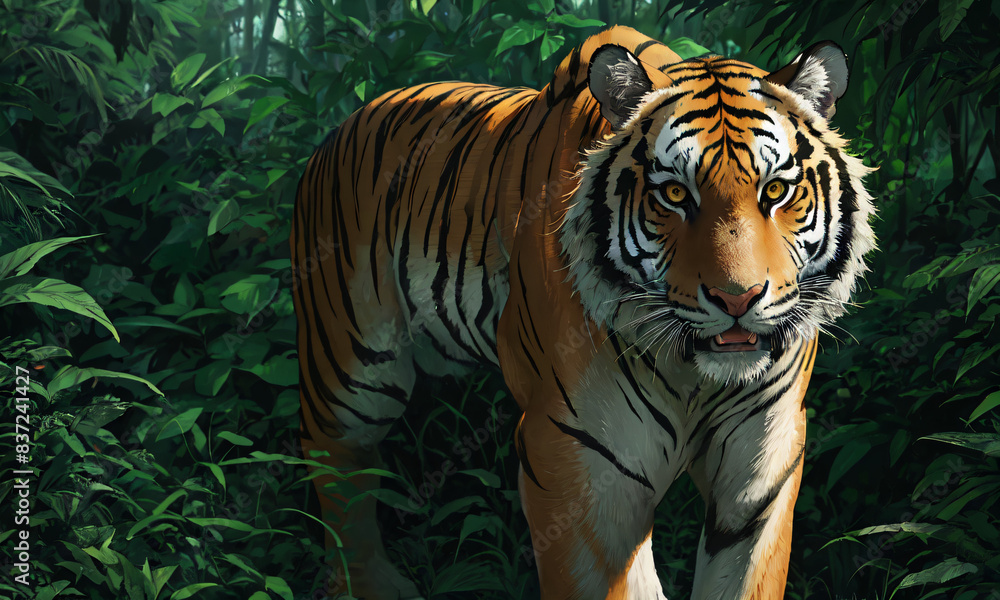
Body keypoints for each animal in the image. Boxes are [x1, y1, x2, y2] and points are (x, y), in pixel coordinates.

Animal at [291, 25, 875, 600]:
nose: (738, 298)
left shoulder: (762, 459)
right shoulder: (575, 461)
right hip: (351, 367)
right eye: (674, 193)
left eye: (775, 189)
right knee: (334, 463)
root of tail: (345, 121)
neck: (694, 375)